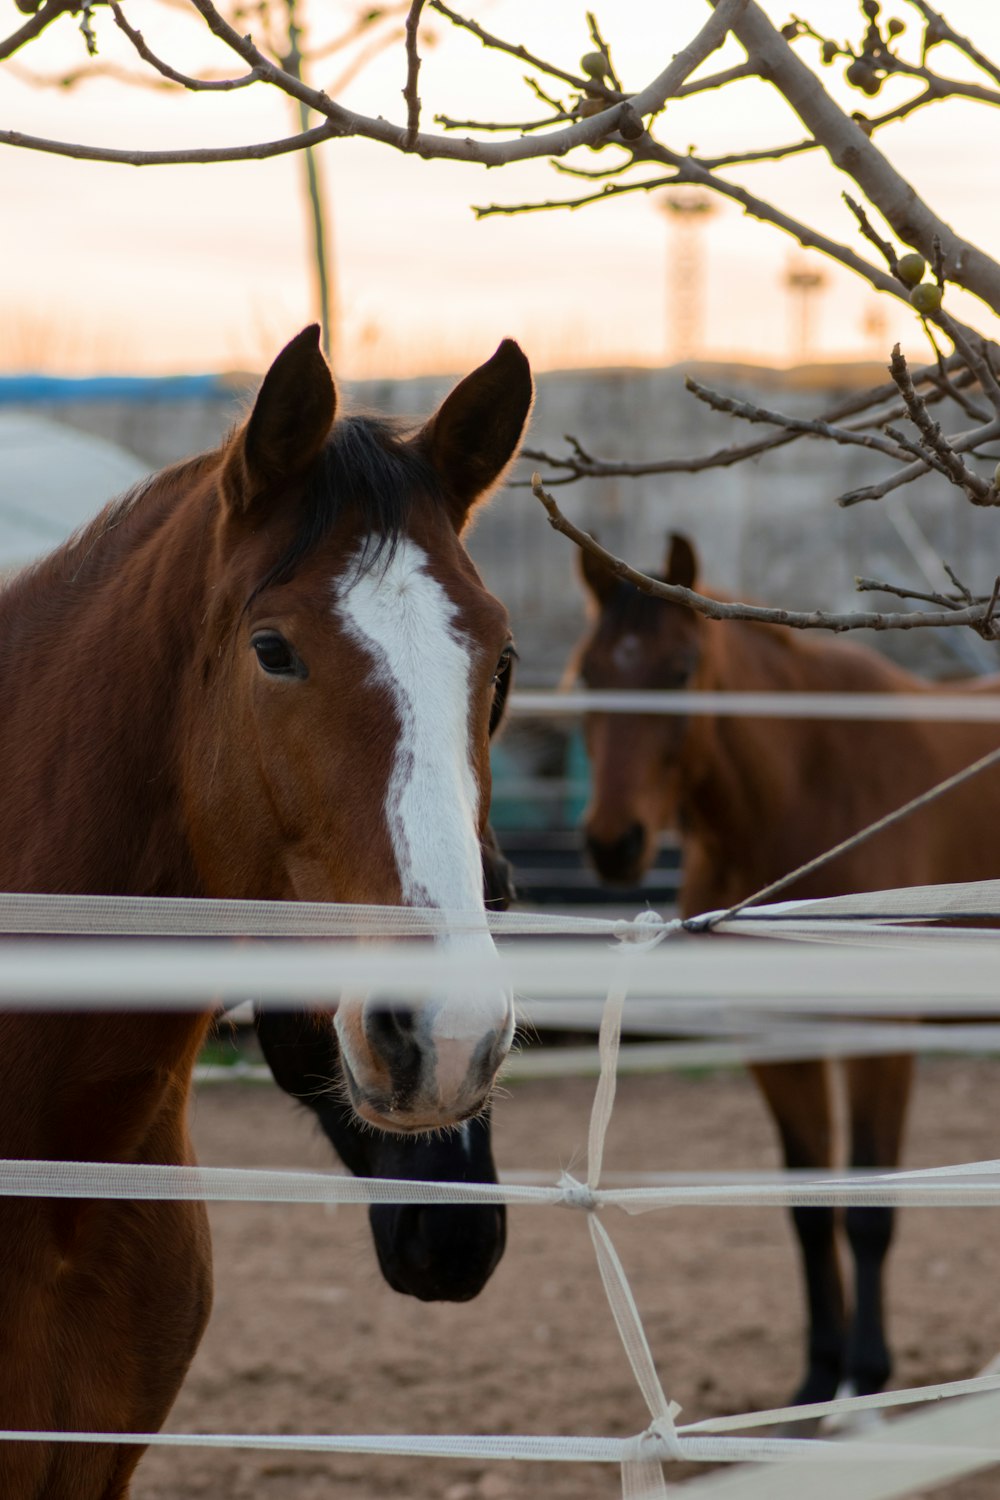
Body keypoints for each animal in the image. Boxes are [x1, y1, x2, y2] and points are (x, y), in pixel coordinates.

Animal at [569, 537, 1000, 1416]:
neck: (811, 791)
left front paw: (866, 1379)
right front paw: (814, 1385)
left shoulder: (878, 1037)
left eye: (680, 669)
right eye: (590, 671)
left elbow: (868, 1211)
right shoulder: (774, 1038)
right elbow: (806, 1207)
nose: (613, 843)